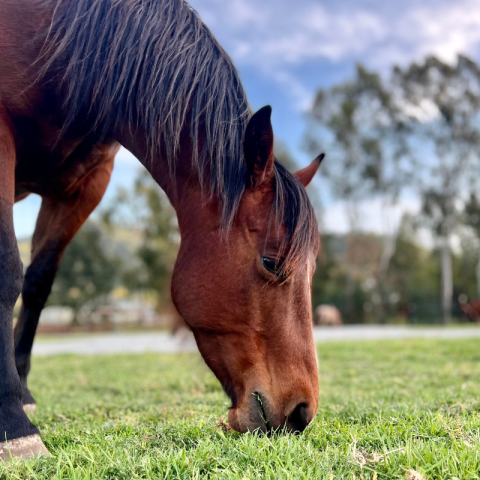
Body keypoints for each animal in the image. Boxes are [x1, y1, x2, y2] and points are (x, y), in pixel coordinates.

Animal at [0, 0, 322, 460]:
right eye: (271, 262)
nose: (301, 413)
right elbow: (8, 271)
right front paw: (13, 424)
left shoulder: (83, 187)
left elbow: (38, 284)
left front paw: (23, 394)